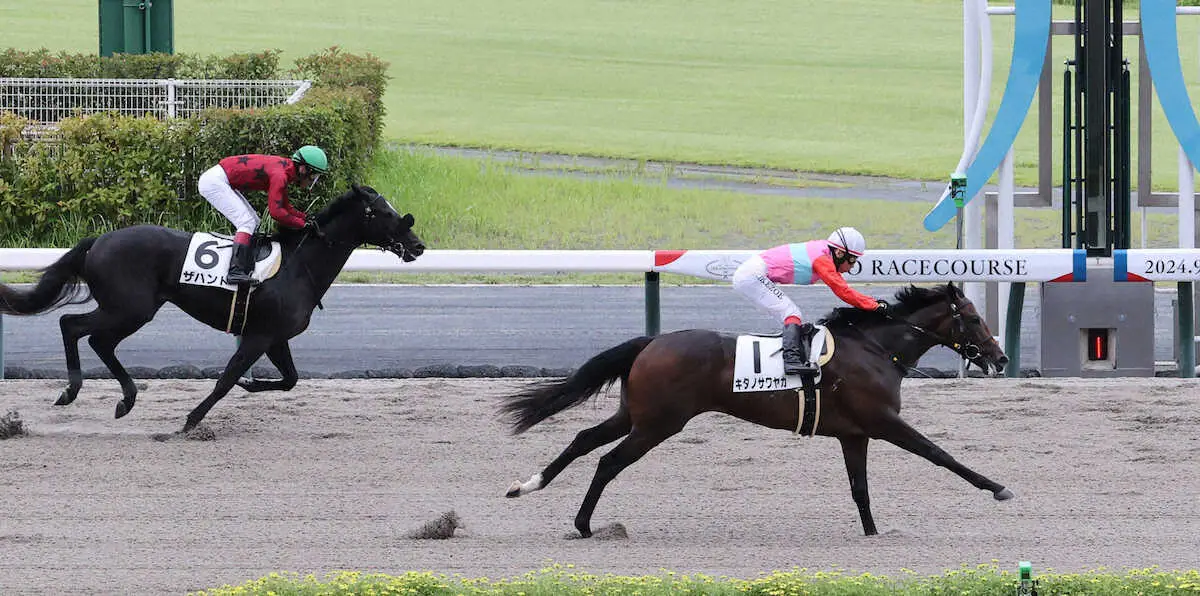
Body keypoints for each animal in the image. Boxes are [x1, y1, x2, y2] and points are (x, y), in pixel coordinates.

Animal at [0, 184, 425, 432]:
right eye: (384, 213)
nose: (418, 246)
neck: (297, 265)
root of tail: (99, 240)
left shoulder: (275, 337)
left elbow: (289, 380)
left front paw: (251, 384)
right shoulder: (259, 336)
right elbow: (225, 380)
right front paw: (191, 420)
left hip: (132, 310)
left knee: (98, 341)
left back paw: (125, 399)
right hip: (130, 308)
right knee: (73, 326)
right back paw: (72, 391)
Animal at [500, 283, 1012, 537]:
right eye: (973, 317)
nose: (1001, 357)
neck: (874, 348)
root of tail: (651, 342)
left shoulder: (855, 433)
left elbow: (859, 488)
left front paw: (871, 532)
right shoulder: (883, 422)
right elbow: (940, 455)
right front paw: (998, 488)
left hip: (636, 415)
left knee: (583, 439)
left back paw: (527, 486)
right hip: (659, 423)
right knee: (608, 461)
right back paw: (583, 524)